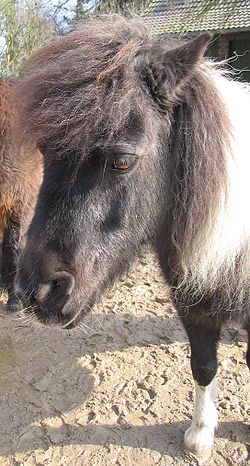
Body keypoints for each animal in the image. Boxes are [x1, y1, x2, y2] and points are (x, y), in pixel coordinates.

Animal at [14, 16, 250, 460]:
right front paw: (200, 435)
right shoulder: (193, 305)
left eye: (122, 160)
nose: (37, 293)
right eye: (46, 151)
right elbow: (204, 365)